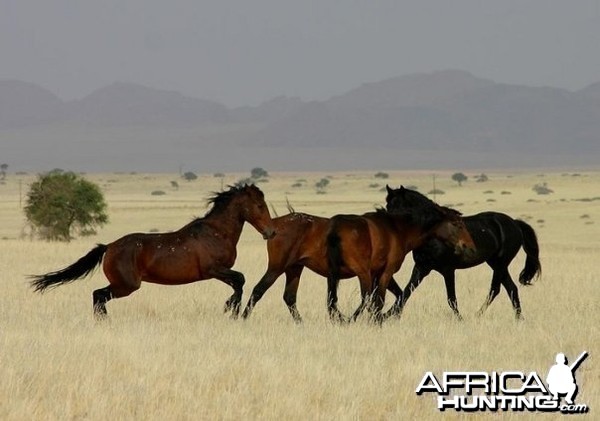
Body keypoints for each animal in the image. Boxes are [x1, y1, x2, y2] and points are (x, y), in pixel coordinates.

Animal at [30, 185, 276, 318]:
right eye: (259, 206)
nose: (271, 232)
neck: (216, 232)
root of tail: (109, 247)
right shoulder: (213, 270)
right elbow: (240, 279)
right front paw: (230, 308)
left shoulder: (219, 272)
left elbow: (238, 283)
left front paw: (230, 307)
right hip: (126, 285)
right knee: (98, 295)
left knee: (98, 296)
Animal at [239, 210, 404, 322]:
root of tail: (274, 224)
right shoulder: (375, 273)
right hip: (277, 268)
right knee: (259, 290)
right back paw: (244, 317)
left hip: (294, 269)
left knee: (289, 297)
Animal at [326, 188, 476, 322]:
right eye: (457, 224)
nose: (470, 247)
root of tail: (335, 232)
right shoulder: (387, 271)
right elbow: (381, 299)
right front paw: (379, 319)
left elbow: (390, 297)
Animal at [386, 185, 540, 320]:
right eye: (387, 206)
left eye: (401, 207)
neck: (434, 235)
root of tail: (515, 223)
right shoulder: (421, 268)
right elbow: (406, 292)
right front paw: (389, 315)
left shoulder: (448, 270)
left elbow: (451, 298)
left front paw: (460, 319)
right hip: (495, 263)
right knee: (511, 288)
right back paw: (519, 318)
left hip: (500, 263)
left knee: (495, 289)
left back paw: (478, 315)